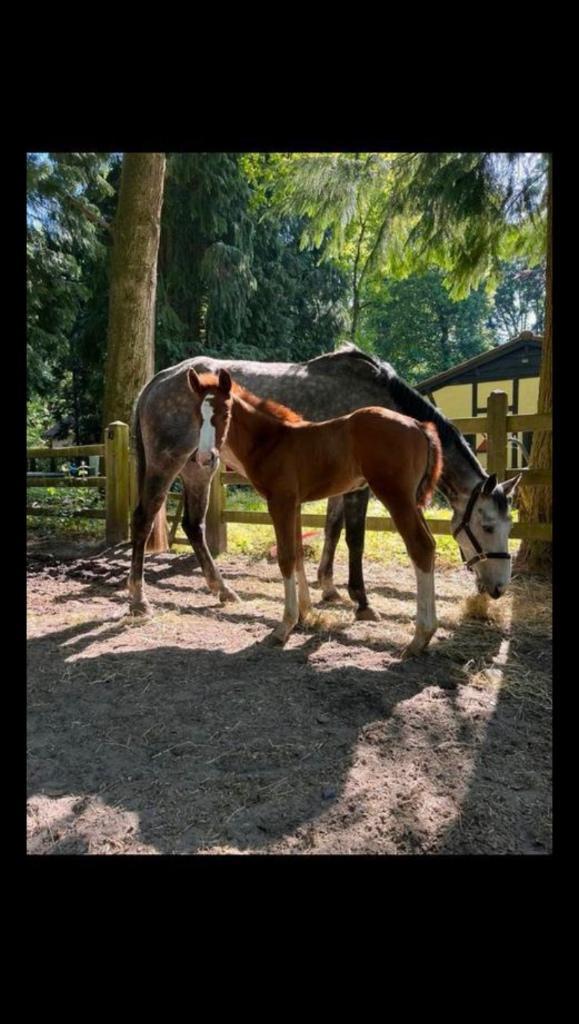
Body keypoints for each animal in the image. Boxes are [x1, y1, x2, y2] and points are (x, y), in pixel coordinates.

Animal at [132, 344, 522, 616]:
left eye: (508, 526)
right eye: (487, 526)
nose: (500, 587)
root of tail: (158, 379)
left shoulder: (340, 485)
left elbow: (332, 529)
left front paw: (328, 587)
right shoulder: (361, 489)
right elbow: (355, 539)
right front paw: (361, 600)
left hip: (198, 467)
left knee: (193, 525)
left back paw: (222, 590)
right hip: (167, 463)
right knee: (143, 519)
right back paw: (138, 600)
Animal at [184, 368, 445, 657]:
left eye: (225, 413)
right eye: (198, 415)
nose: (205, 458)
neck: (270, 442)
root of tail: (419, 426)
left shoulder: (281, 502)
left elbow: (286, 557)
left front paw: (284, 626)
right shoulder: (295, 504)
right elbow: (298, 554)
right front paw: (306, 614)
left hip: (396, 497)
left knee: (420, 546)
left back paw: (420, 637)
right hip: (411, 501)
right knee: (430, 544)